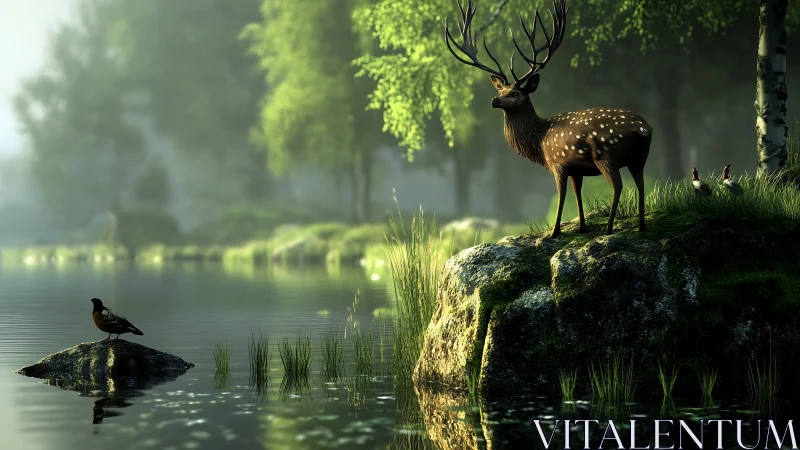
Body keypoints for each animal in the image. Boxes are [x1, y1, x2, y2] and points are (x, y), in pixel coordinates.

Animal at [445, 0, 653, 238]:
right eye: (501, 90)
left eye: (514, 93)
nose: (494, 100)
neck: (539, 142)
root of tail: (643, 129)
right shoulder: (576, 169)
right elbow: (577, 193)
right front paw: (581, 227)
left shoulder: (558, 162)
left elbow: (562, 195)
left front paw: (554, 232)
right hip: (640, 157)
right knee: (640, 183)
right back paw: (641, 226)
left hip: (606, 156)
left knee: (618, 185)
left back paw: (609, 229)